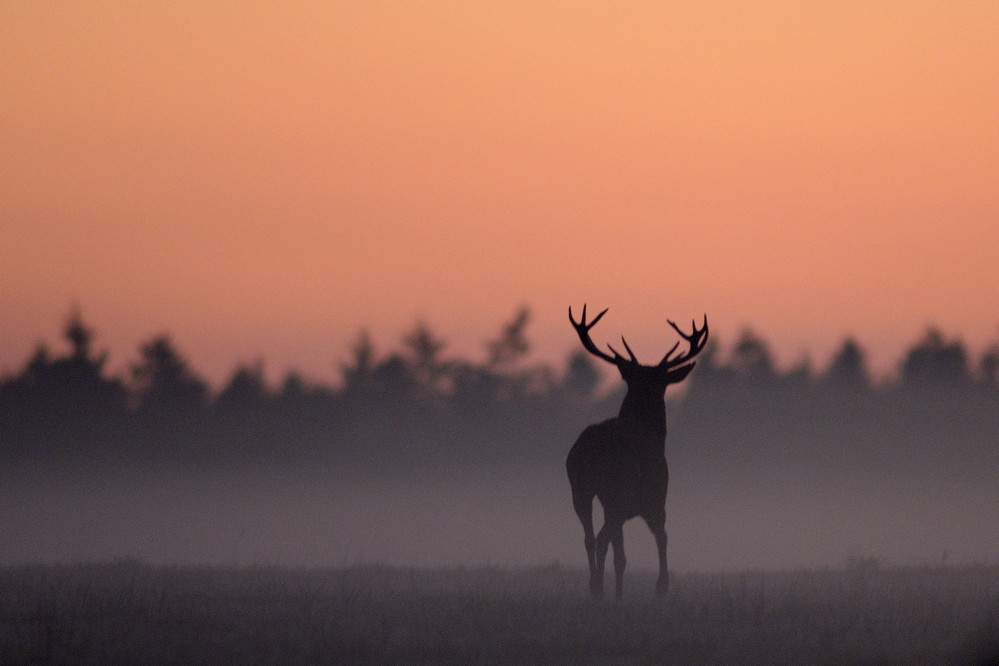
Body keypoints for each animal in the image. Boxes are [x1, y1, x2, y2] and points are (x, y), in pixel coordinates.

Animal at [568, 304, 708, 600]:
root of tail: (589, 448)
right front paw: (661, 587)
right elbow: (662, 536)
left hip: (580, 488)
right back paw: (605, 589)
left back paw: (595, 587)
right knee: (605, 540)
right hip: (618, 490)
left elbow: (618, 551)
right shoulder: (656, 497)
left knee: (590, 537)